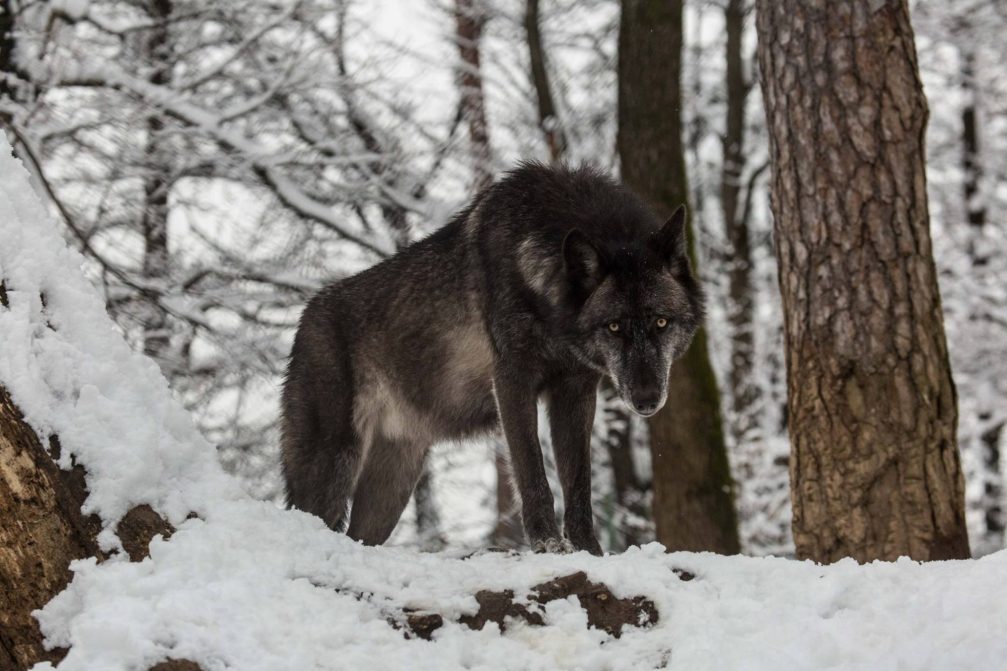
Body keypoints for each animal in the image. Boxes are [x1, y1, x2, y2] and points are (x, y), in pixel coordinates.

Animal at [279, 162, 704, 552]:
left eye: (661, 322)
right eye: (614, 327)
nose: (647, 400)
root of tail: (306, 316)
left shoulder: (576, 390)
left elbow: (578, 484)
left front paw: (590, 553)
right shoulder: (512, 380)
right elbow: (533, 473)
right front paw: (549, 545)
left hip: (392, 486)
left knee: (359, 537)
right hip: (333, 466)